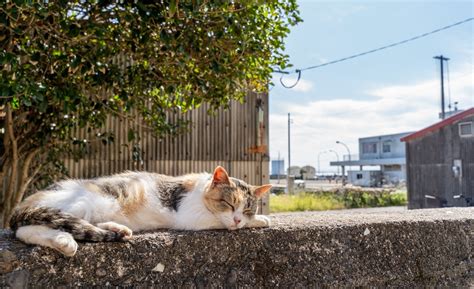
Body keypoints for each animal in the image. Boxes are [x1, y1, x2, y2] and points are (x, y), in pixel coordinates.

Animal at [10, 165, 270, 255]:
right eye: (229, 204)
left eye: (247, 209)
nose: (238, 219)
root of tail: (23, 203)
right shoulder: (191, 216)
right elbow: (219, 221)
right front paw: (259, 220)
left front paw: (257, 219)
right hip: (82, 202)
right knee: (27, 229)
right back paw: (63, 242)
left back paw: (119, 229)